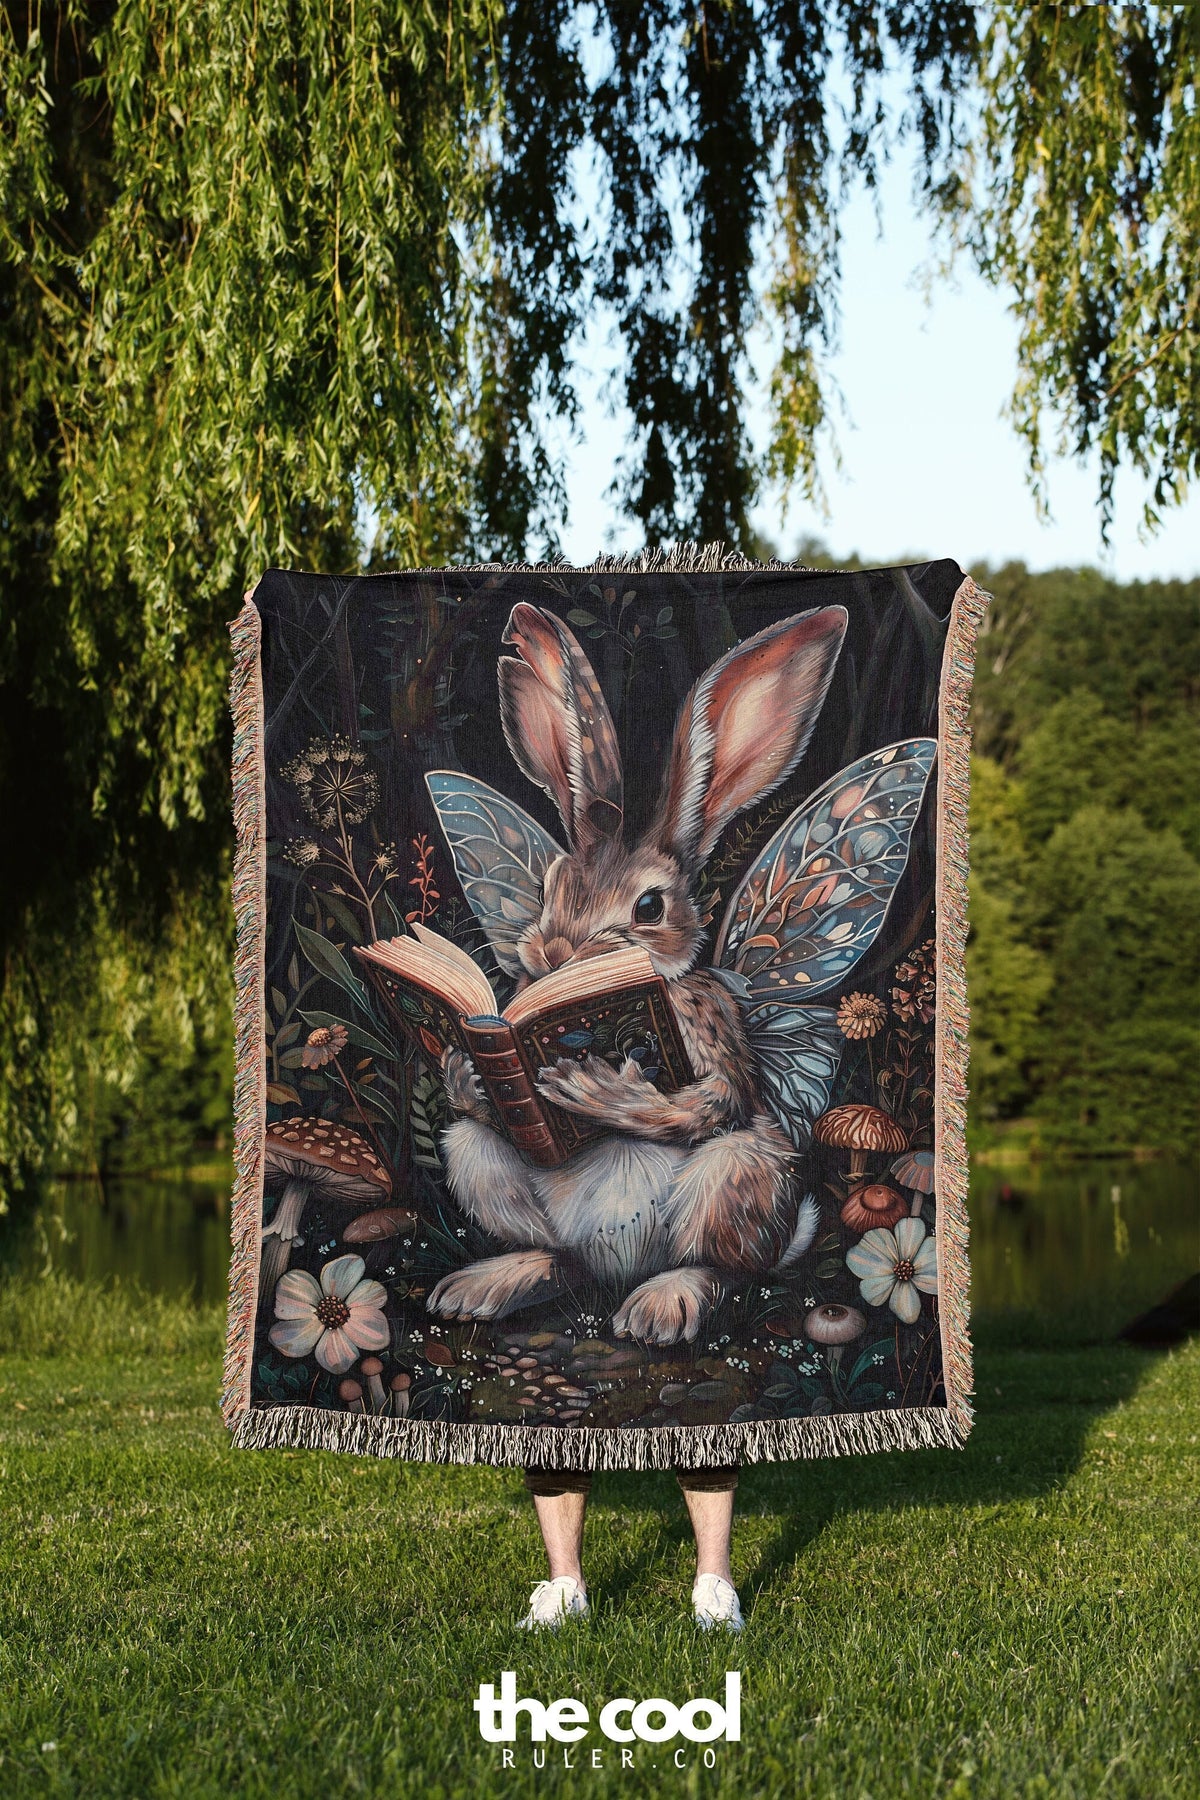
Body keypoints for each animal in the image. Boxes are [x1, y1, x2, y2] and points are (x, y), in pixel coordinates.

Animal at [426, 598, 848, 1345]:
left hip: (740, 1174)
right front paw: (468, 1069)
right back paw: (485, 1286)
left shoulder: (711, 1035)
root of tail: (619, 1269)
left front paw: (599, 1092)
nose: (552, 955)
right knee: (560, 1257)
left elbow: (714, 1099)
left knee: (725, 1266)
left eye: (649, 906)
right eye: (552, 884)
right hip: (475, 1158)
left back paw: (659, 1307)